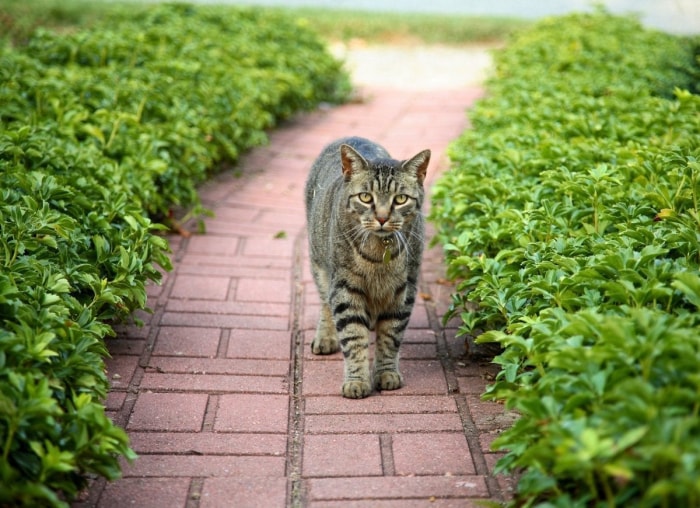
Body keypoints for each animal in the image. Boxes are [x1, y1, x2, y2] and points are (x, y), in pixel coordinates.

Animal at [304, 137, 430, 398]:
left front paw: (386, 373)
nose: (382, 218)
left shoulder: (404, 291)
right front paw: (357, 381)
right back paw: (325, 337)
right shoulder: (345, 288)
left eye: (400, 199)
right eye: (365, 197)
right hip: (319, 264)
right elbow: (353, 337)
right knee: (325, 303)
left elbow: (390, 337)